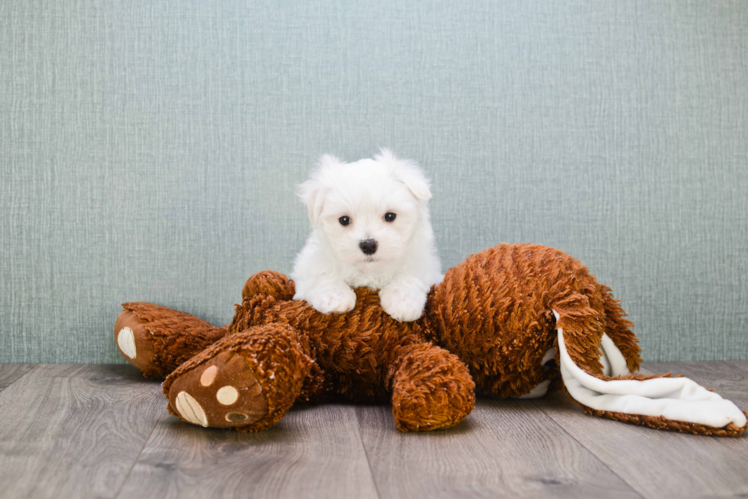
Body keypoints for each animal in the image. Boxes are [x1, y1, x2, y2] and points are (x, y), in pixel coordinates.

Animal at [290, 148, 444, 322]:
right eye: (344, 220)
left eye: (390, 216)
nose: (368, 245)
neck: (369, 270)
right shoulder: (308, 264)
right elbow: (320, 276)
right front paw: (334, 297)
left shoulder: (424, 264)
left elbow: (411, 276)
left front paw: (403, 301)